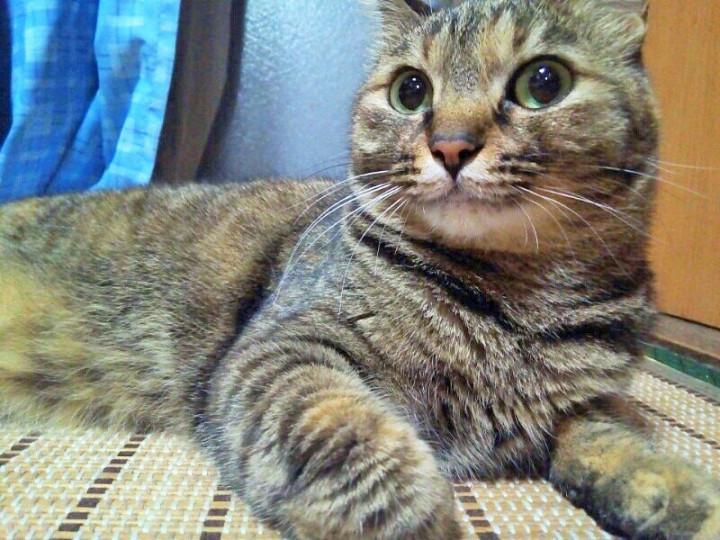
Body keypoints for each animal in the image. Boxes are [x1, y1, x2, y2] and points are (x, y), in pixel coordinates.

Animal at [1, 0, 719, 538]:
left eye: (543, 82)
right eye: (411, 90)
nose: (451, 145)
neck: (512, 305)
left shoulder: (583, 402)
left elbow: (613, 434)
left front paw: (678, 489)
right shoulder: (282, 350)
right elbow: (341, 427)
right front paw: (420, 515)